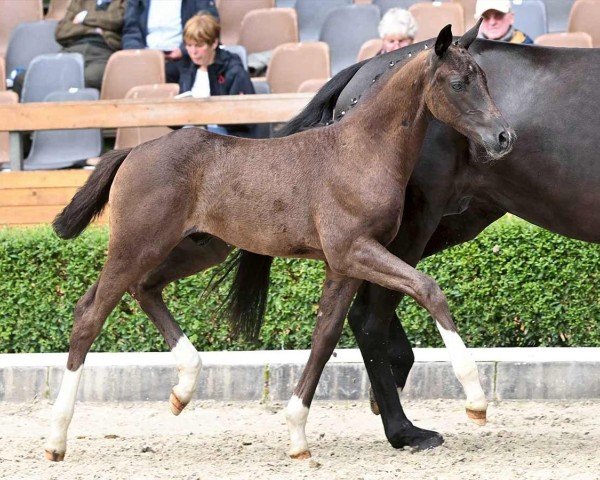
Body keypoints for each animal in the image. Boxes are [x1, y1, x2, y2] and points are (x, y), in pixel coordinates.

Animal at [48, 26, 516, 462]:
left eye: (484, 78)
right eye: (458, 83)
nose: (503, 137)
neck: (361, 151)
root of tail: (130, 151)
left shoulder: (343, 265)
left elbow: (325, 336)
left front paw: (296, 435)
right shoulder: (354, 250)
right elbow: (428, 289)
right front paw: (476, 401)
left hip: (200, 248)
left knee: (143, 287)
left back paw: (183, 387)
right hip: (138, 243)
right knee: (91, 313)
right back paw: (56, 438)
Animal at [225, 36, 600, 454]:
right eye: (459, 84)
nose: (505, 137)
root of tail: (364, 70)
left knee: (361, 313)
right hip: (417, 224)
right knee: (370, 318)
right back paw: (405, 428)